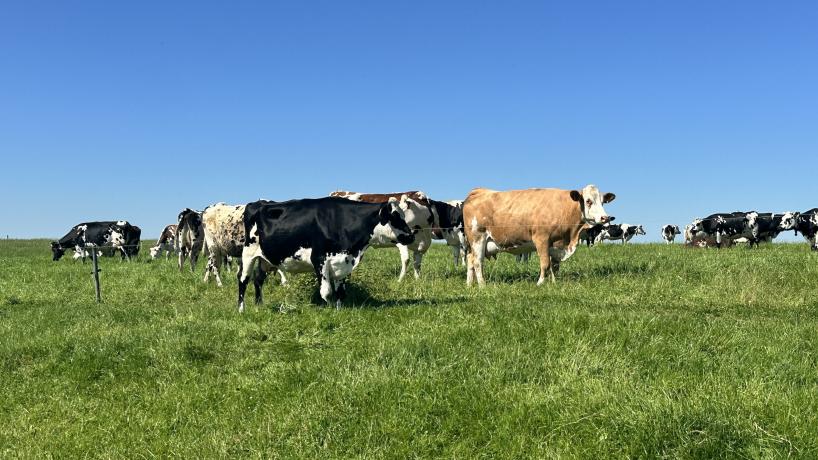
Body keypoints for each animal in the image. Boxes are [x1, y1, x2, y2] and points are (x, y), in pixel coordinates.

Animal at [237, 197, 416, 312]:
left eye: (403, 215)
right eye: (394, 217)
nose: (411, 235)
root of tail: (258, 203)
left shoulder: (343, 261)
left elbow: (341, 291)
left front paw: (338, 310)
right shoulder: (319, 259)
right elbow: (326, 291)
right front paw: (329, 310)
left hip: (265, 258)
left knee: (258, 279)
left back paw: (259, 305)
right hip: (248, 253)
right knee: (243, 279)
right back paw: (241, 309)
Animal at [463, 185, 615, 287]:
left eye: (603, 201)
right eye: (588, 201)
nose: (605, 217)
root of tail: (479, 191)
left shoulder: (556, 244)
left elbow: (555, 265)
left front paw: (554, 283)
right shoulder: (541, 239)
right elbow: (545, 264)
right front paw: (540, 283)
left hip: (474, 243)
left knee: (470, 259)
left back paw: (470, 284)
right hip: (478, 238)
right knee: (477, 262)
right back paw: (482, 285)